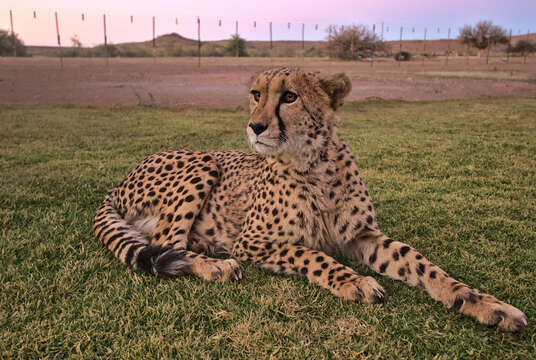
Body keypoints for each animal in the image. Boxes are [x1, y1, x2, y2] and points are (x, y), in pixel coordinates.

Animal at [93, 67, 528, 332]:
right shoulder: (254, 242)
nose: (255, 126)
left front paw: (483, 303)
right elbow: (311, 254)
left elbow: (419, 263)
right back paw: (215, 266)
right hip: (202, 160)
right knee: (164, 243)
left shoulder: (361, 236)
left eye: (290, 97)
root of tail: (119, 182)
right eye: (255, 94)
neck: (315, 164)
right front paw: (355, 281)